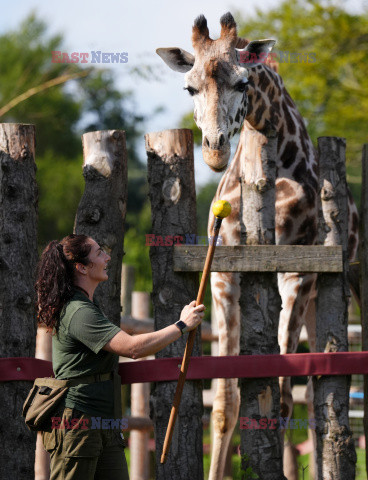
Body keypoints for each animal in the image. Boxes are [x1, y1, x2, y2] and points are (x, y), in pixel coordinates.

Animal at [156, 12, 360, 480]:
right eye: (189, 87)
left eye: (243, 82)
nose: (214, 151)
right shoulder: (223, 279)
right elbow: (225, 403)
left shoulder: (296, 274)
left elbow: (281, 398)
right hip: (319, 301)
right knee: (319, 393)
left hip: (354, 281)